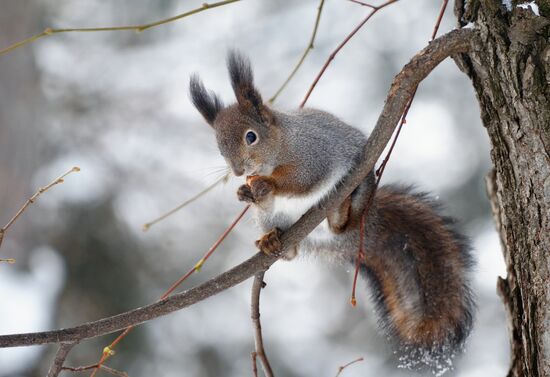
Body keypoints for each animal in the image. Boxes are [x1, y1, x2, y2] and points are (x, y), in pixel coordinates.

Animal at [189, 51, 474, 372]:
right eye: (219, 147)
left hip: (361, 190)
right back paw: (273, 240)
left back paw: (339, 212)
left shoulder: (314, 155)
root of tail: (361, 232)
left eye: (251, 137)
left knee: (344, 222)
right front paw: (245, 193)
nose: (239, 172)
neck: (281, 146)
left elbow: (302, 180)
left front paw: (266, 185)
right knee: (290, 251)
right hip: (272, 221)